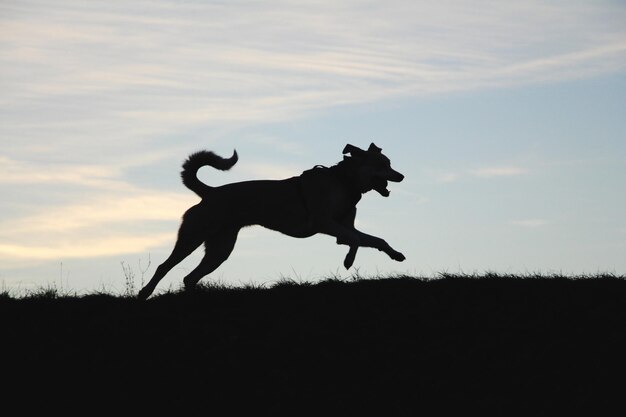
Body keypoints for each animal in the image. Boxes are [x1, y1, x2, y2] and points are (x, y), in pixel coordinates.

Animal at [138, 143, 404, 300]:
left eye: (389, 163)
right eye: (382, 165)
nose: (401, 176)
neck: (343, 181)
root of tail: (210, 192)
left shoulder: (343, 227)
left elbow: (375, 239)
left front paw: (396, 254)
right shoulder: (325, 223)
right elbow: (355, 239)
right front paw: (348, 261)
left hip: (220, 249)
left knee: (190, 277)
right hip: (192, 236)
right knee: (164, 267)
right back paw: (145, 292)